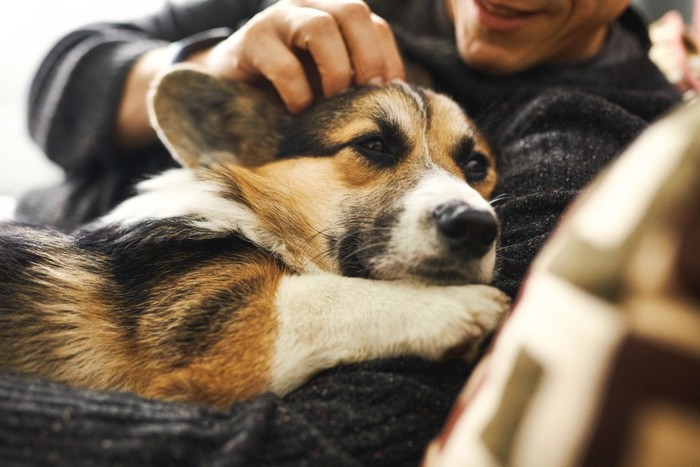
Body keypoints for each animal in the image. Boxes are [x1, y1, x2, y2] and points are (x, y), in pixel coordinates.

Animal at [0, 66, 508, 410]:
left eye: (476, 165)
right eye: (374, 145)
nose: (476, 225)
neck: (252, 214)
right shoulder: (237, 337)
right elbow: (328, 297)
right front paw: (455, 305)